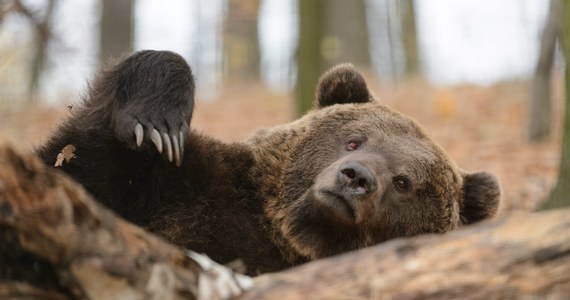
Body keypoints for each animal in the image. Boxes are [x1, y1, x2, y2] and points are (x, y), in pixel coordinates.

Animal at [36, 50, 496, 276]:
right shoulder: (185, 185)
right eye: (354, 139)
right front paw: (155, 125)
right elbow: (85, 162)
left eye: (404, 182)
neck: (288, 235)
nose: (355, 178)